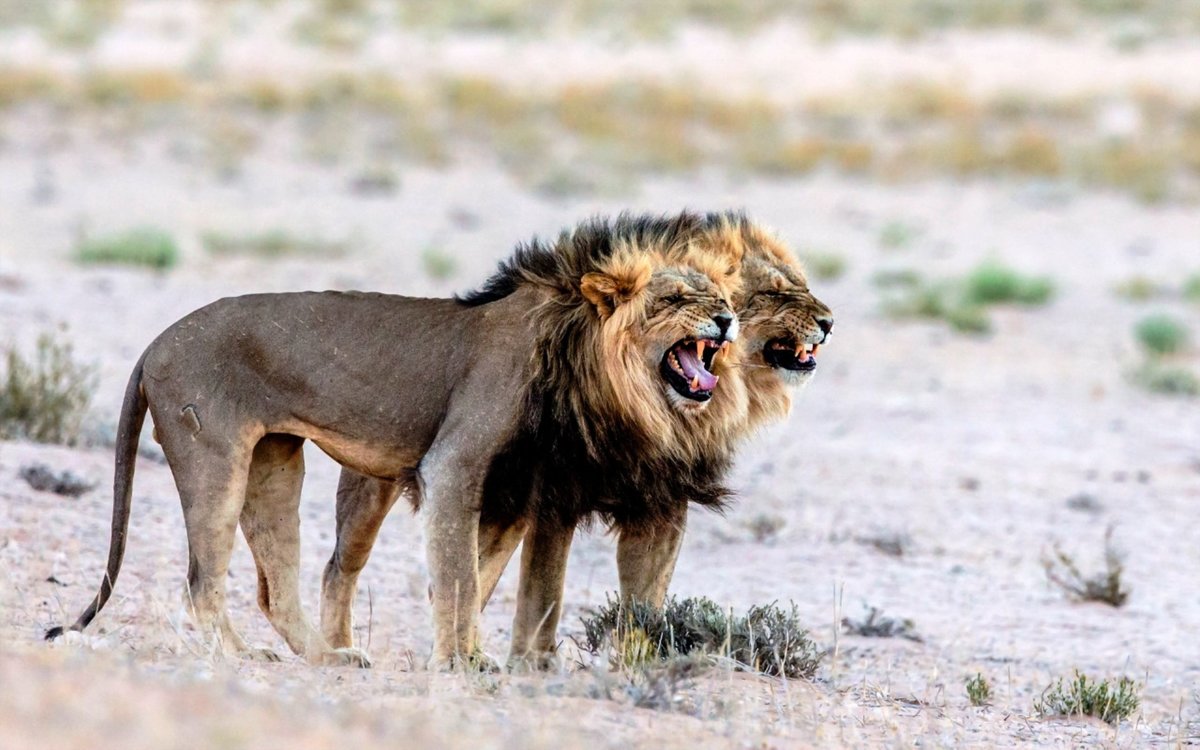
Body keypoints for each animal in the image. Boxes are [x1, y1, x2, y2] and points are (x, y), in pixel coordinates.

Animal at [45, 214, 746, 671]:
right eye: (675, 298)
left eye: (717, 295)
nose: (727, 319)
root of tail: (154, 344)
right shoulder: (455, 463)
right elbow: (460, 575)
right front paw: (465, 663)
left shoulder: (518, 490)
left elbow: (476, 575)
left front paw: (466, 655)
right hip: (213, 455)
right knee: (202, 581)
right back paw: (241, 656)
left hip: (273, 461)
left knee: (274, 583)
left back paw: (329, 656)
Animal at [321, 212, 832, 669]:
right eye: (774, 292)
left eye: (801, 285)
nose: (829, 321)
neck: (655, 410)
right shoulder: (555, 492)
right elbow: (543, 590)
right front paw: (535, 664)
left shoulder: (661, 499)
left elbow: (645, 599)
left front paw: (645, 662)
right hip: (373, 489)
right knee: (342, 568)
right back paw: (339, 650)